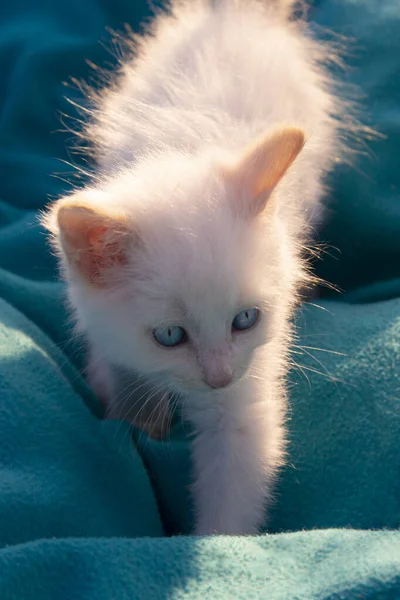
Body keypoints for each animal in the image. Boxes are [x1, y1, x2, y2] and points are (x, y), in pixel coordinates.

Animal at [43, 0, 344, 536]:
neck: (180, 146)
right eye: (169, 336)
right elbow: (123, 379)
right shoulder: (105, 332)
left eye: (245, 319)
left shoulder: (245, 388)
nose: (220, 378)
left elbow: (235, 473)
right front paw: (138, 417)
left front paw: (218, 548)